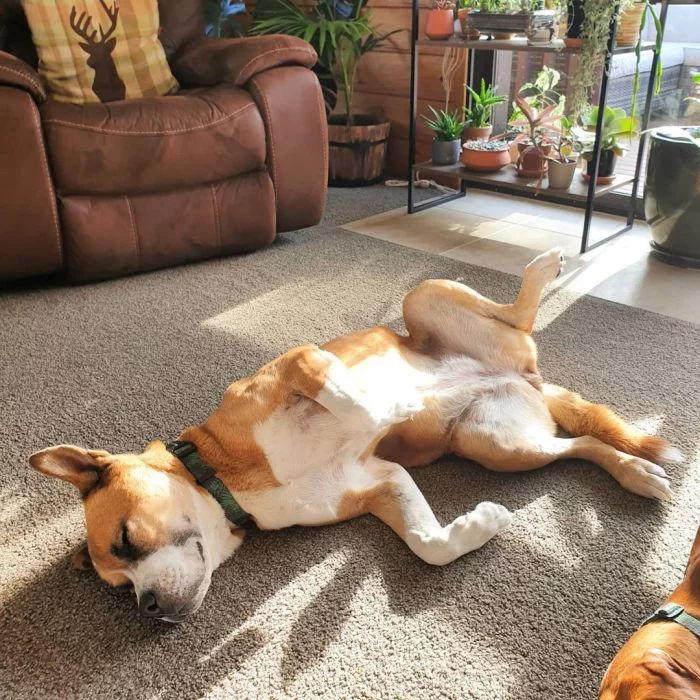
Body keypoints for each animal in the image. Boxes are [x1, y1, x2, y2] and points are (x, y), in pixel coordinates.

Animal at [30, 249, 680, 620]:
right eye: (120, 588)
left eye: (124, 540)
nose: (149, 610)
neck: (227, 478)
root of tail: (525, 376)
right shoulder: (381, 482)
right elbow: (429, 543)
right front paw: (478, 527)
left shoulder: (300, 362)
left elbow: (356, 405)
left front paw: (391, 403)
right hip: (498, 445)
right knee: (582, 446)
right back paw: (636, 473)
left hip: (424, 297)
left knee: (516, 312)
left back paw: (540, 273)